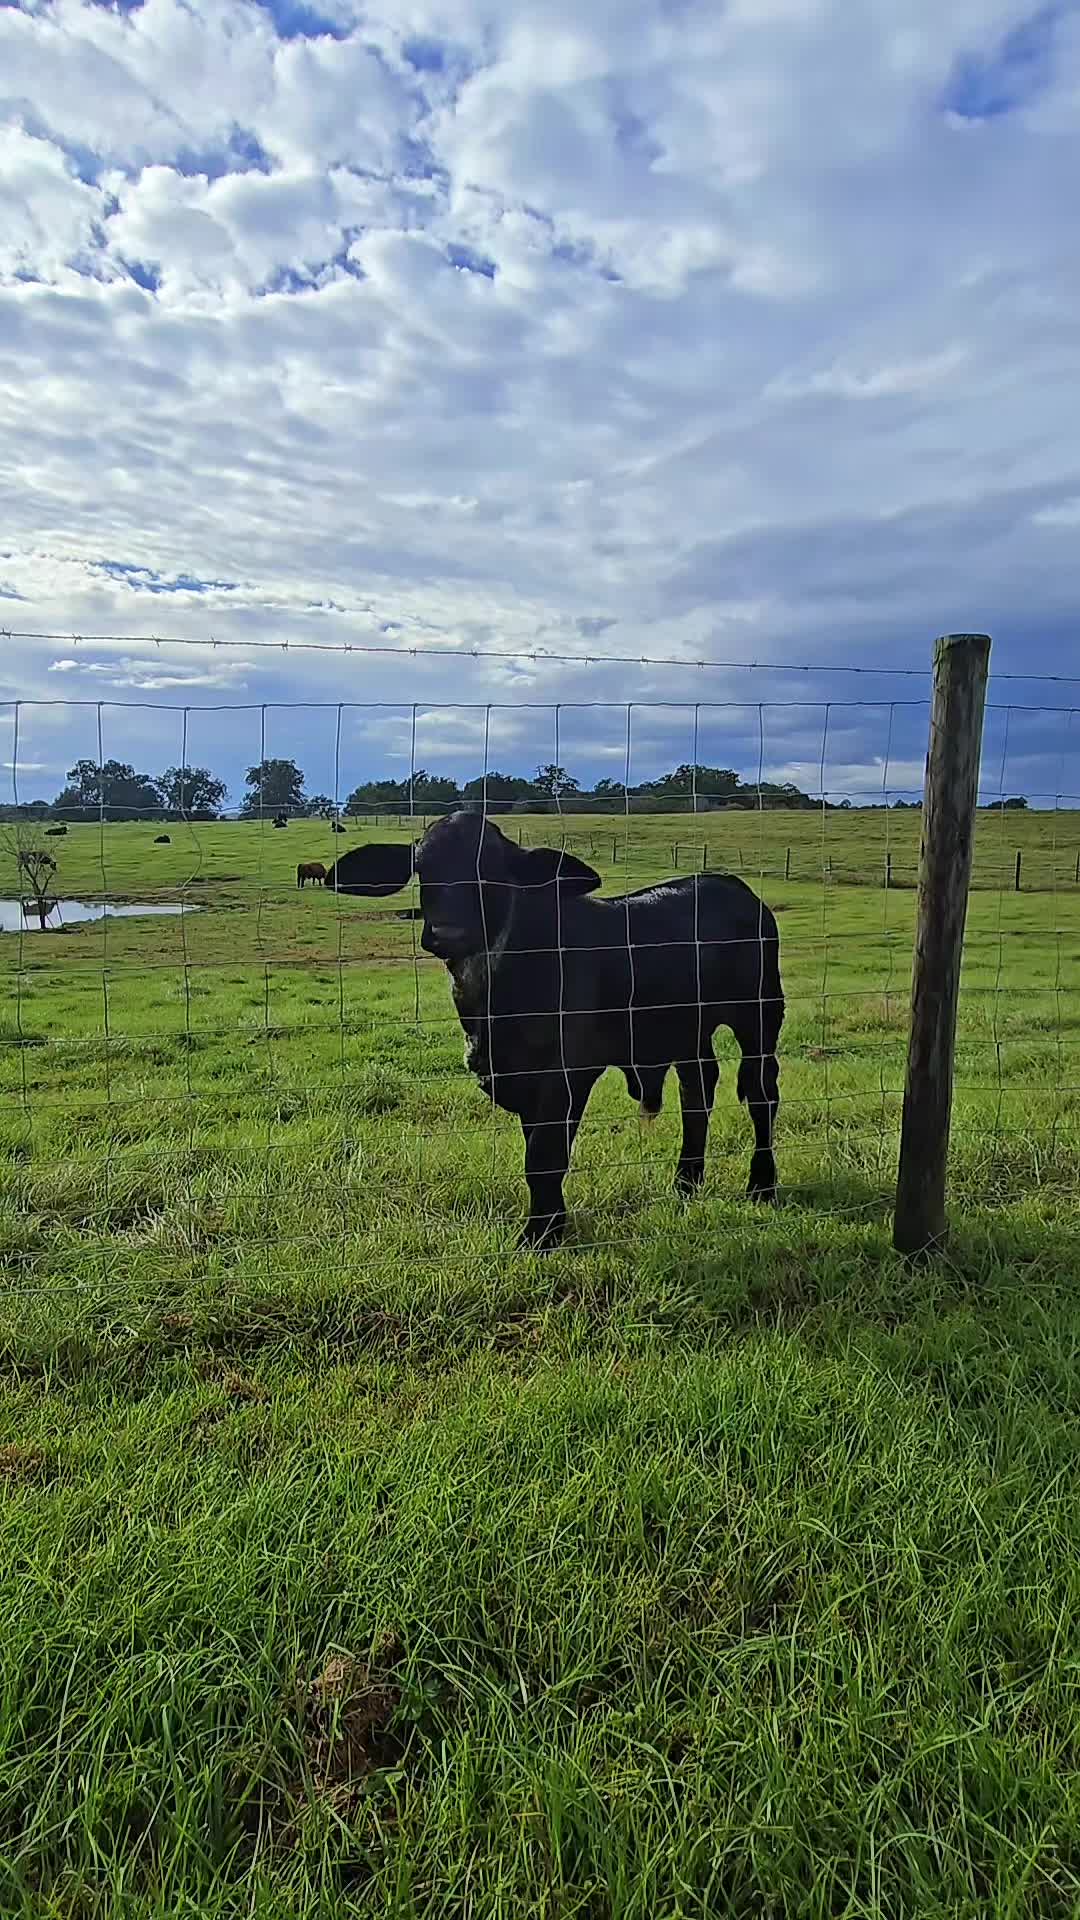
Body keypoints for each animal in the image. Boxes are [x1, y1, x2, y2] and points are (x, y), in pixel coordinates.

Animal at [326, 812, 783, 1248]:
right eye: (423, 866)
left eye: (493, 870)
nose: (448, 933)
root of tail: (735, 888)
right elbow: (537, 1154)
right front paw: (552, 1222)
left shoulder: (567, 1075)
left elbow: (544, 1158)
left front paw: (540, 1234)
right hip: (687, 1030)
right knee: (697, 1091)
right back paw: (686, 1183)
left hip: (760, 1017)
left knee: (761, 1094)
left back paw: (761, 1184)